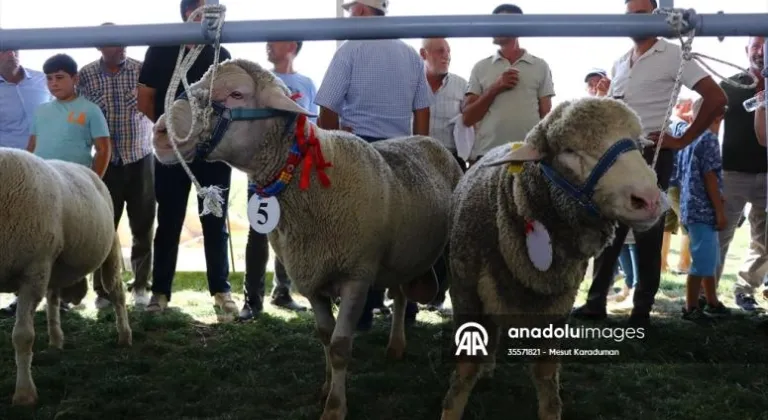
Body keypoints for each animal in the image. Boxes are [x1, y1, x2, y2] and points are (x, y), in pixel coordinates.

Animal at [0, 149, 132, 406]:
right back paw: (56, 340)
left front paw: (24, 394)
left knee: (117, 294)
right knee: (53, 299)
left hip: (109, 249)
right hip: (53, 266)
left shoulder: (33, 272)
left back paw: (124, 336)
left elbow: (23, 336)